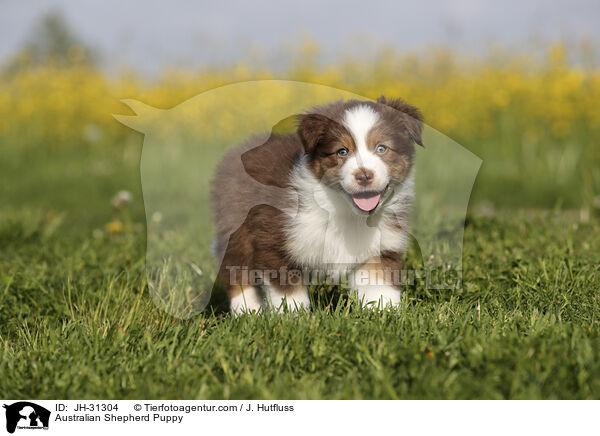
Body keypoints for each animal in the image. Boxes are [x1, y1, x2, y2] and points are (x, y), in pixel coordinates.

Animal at [211, 95, 422, 314]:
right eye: (342, 151)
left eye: (381, 148)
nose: (364, 175)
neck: (345, 211)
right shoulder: (276, 240)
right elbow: (288, 291)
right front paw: (292, 317)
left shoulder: (380, 248)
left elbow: (378, 287)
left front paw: (384, 314)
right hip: (236, 225)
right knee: (236, 270)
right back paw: (248, 311)